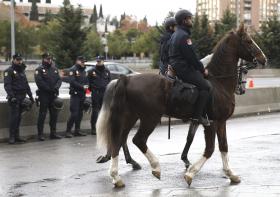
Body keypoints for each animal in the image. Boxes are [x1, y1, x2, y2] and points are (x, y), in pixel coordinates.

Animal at [96, 25, 266, 188]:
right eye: (249, 41)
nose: (263, 58)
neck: (218, 83)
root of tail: (125, 79)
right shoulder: (211, 123)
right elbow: (210, 149)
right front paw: (190, 173)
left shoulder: (219, 122)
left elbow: (222, 146)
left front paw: (231, 174)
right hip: (149, 118)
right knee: (138, 140)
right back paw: (155, 167)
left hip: (130, 116)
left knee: (119, 140)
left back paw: (117, 176)